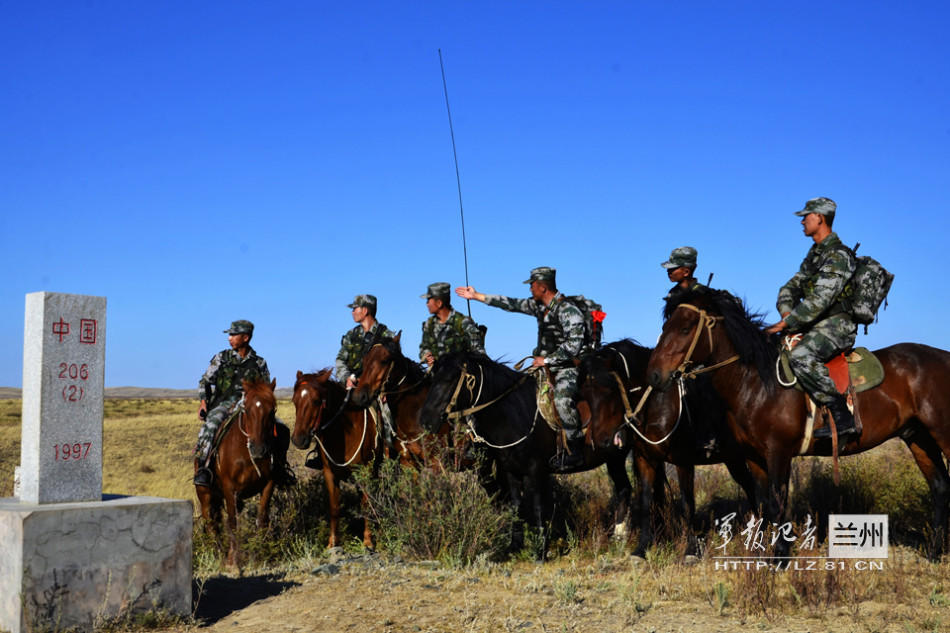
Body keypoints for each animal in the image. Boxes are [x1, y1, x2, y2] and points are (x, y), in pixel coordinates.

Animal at [195, 378, 288, 564]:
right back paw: (218, 554)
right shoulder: (229, 488)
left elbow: (261, 519)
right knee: (210, 523)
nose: (258, 449)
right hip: (205, 494)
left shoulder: (268, 485)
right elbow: (232, 523)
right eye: (246, 409)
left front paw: (258, 554)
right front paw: (233, 561)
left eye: (273, 409)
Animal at [292, 370, 382, 548]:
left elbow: (365, 504)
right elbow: (334, 507)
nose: (298, 439)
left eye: (316, 401)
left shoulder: (366, 471)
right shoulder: (329, 473)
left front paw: (368, 541)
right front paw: (332, 542)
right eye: (294, 401)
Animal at [418, 348, 636, 552]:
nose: (426, 421)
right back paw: (618, 536)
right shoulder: (511, 471)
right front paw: (515, 545)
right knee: (623, 488)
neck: (514, 414)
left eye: (450, 379)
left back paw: (619, 536)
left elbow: (537, 506)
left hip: (617, 457)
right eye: (432, 378)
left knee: (625, 489)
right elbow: (516, 506)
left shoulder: (535, 470)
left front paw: (540, 551)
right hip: (614, 460)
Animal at [580, 340, 760, 552]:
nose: (601, 441)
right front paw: (642, 547)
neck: (657, 404)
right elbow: (646, 501)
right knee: (749, 485)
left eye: (609, 389)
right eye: (585, 395)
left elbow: (687, 503)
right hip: (733, 459)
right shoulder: (645, 459)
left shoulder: (683, 461)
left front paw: (691, 548)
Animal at [652, 288, 950, 556]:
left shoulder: (778, 453)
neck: (757, 383)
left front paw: (780, 556)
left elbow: (777, 504)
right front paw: (761, 554)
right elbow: (763, 503)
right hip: (918, 438)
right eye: (666, 325)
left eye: (685, 328)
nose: (656, 375)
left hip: (941, 433)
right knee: (939, 487)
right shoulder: (753, 457)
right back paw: (935, 551)